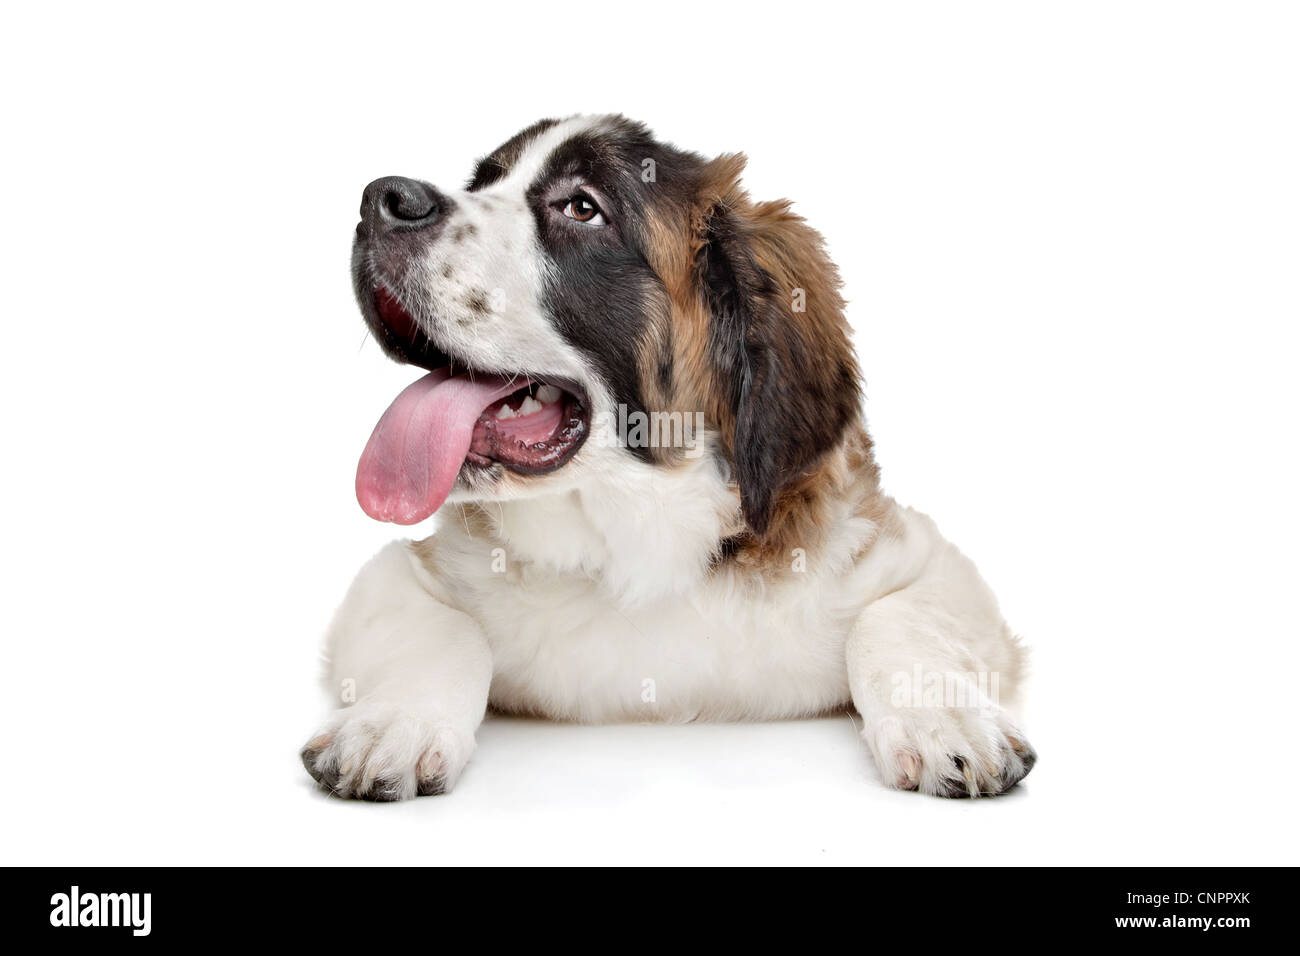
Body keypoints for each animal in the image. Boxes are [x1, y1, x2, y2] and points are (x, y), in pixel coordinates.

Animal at [301, 113, 1034, 801]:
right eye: (482, 184)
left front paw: (945, 723)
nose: (381, 199)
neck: (638, 547)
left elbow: (896, 617)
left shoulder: (923, 557)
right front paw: (392, 725)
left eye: (582, 208)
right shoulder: (400, 573)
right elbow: (445, 630)